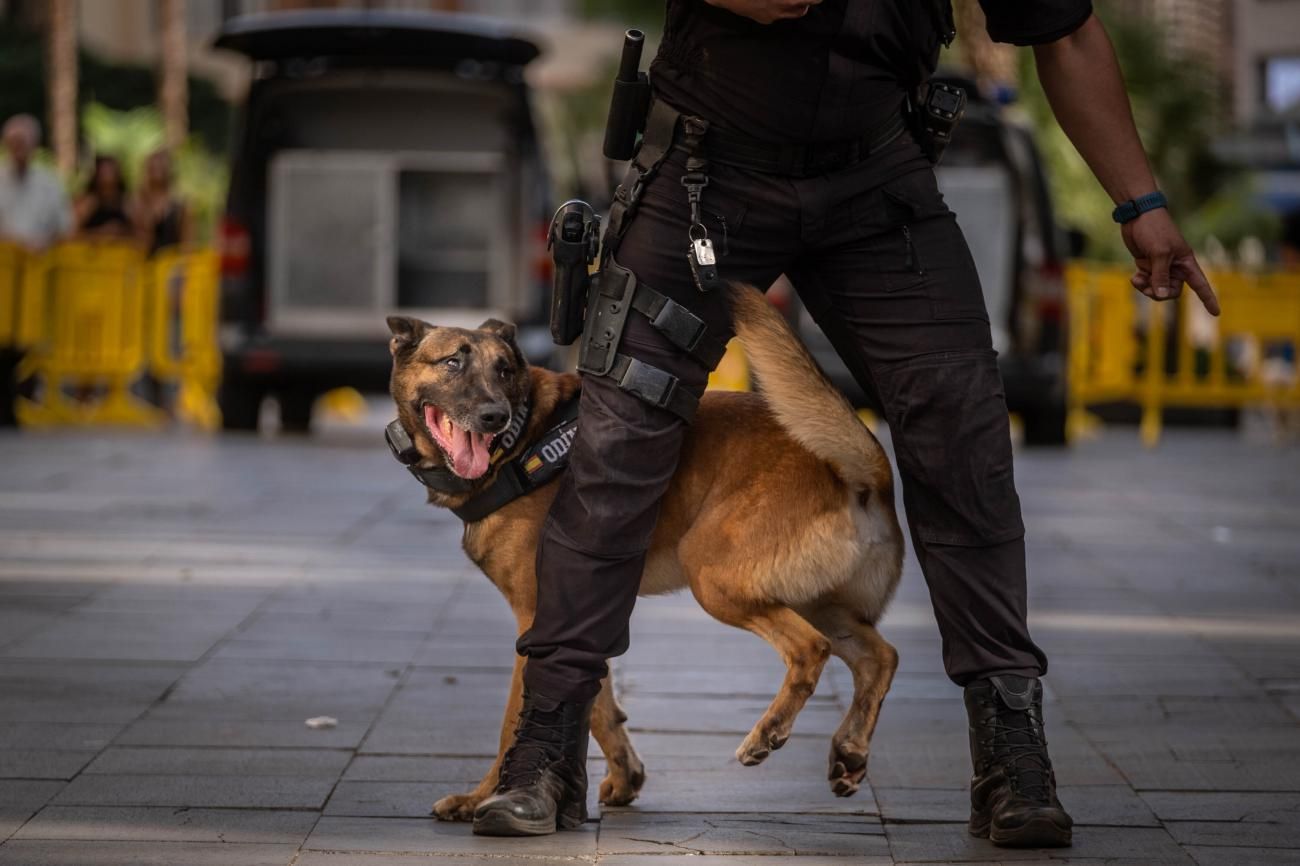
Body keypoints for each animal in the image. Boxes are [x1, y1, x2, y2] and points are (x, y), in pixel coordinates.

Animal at [384, 282, 904, 816]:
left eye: (504, 370)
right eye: (452, 363)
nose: (494, 416)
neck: (524, 439)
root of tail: (862, 475)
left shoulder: (534, 616)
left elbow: (514, 720)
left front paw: (484, 797)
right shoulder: (577, 613)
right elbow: (596, 703)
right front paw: (623, 778)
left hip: (713, 575)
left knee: (810, 649)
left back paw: (769, 732)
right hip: (816, 601)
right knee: (879, 657)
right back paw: (850, 750)